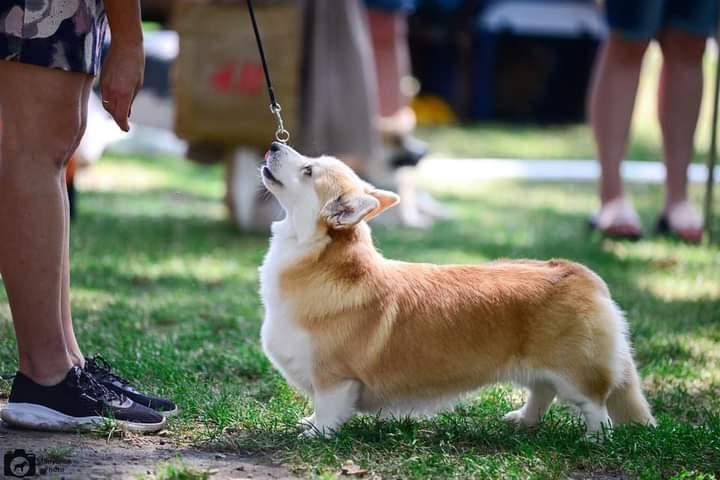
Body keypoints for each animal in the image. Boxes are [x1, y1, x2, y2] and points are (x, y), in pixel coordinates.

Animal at [260, 142, 660, 436]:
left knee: (595, 407)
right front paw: (308, 423)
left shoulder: (335, 379)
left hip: (575, 372)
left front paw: (315, 434)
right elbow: (319, 411)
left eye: (308, 171)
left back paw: (595, 439)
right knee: (542, 391)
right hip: (540, 366)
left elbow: (329, 411)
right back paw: (523, 420)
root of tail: (580, 273)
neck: (319, 261)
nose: (274, 144)